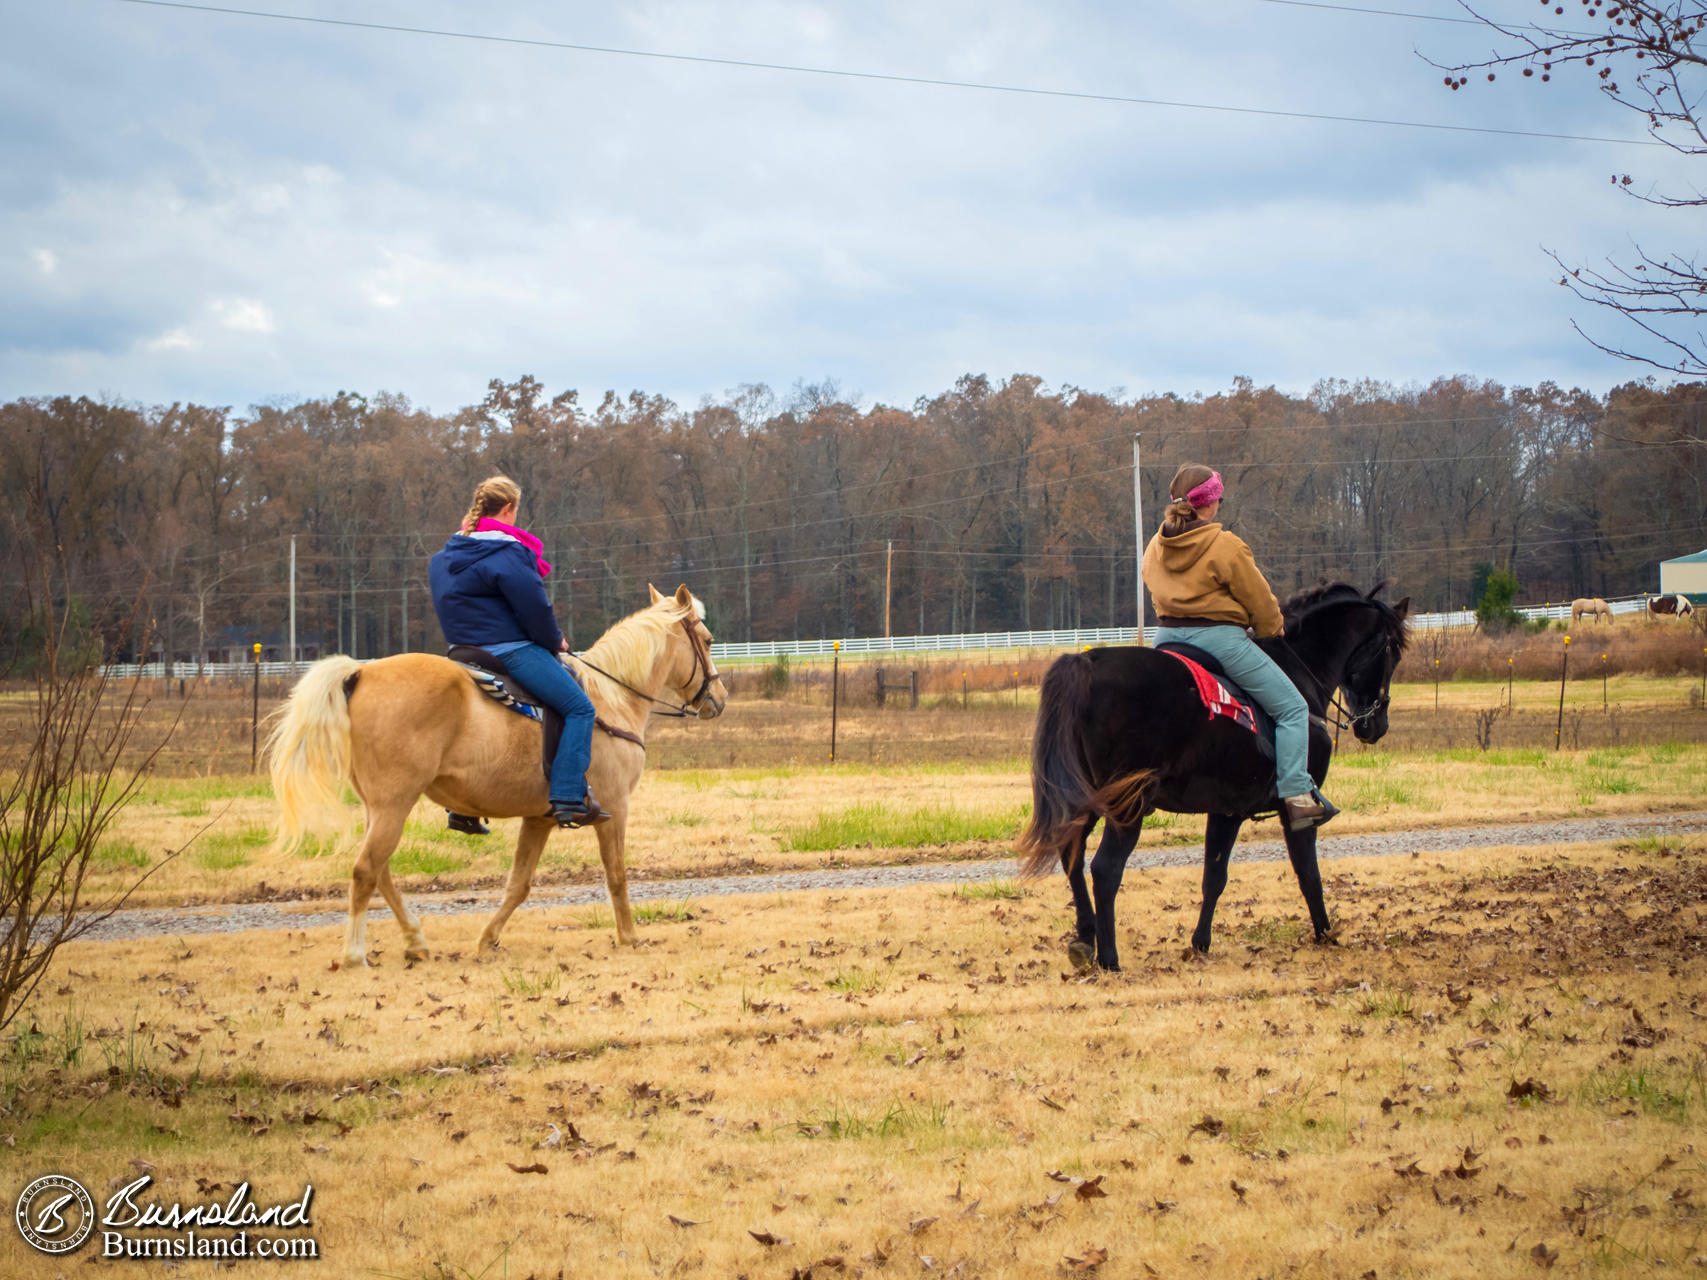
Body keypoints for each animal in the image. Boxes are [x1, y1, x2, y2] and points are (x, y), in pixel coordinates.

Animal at [266, 587, 727, 969]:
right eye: (706, 640)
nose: (719, 699)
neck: (613, 699)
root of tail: (362, 672)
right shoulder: (615, 808)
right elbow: (616, 875)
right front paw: (629, 936)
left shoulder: (539, 818)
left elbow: (518, 885)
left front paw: (488, 939)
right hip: (394, 804)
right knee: (366, 871)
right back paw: (354, 954)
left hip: (377, 808)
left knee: (380, 872)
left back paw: (415, 940)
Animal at [1017, 583, 1406, 969]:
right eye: (1393, 653)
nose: (1376, 725)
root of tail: (1088, 662)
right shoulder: (1294, 812)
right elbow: (1308, 873)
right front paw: (1326, 935)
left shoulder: (1226, 812)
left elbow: (1214, 877)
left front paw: (1200, 943)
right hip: (1128, 807)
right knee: (1105, 869)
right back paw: (1109, 958)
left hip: (1085, 799)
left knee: (1072, 853)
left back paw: (1085, 939)